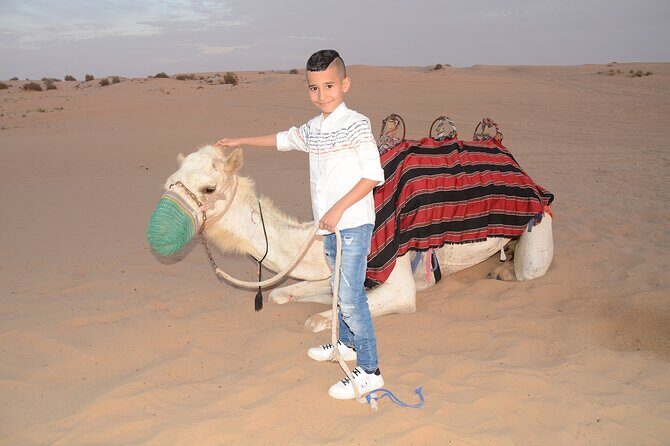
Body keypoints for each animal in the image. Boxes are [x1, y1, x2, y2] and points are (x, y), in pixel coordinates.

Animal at [161, 145, 554, 332]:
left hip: (540, 223)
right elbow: (279, 294)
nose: (162, 225)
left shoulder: (397, 281)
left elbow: (319, 319)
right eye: (171, 181)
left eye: (208, 188)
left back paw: (504, 270)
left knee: (528, 270)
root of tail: (523, 171)